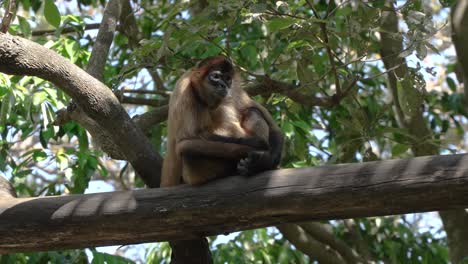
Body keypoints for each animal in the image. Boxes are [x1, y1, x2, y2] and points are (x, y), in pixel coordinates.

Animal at [161, 54, 286, 187]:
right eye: (216, 77)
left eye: (227, 79)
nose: (223, 85)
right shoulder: (183, 86)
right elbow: (184, 141)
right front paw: (258, 151)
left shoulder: (234, 87)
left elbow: (273, 127)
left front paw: (265, 162)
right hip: (194, 174)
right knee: (187, 149)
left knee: (252, 111)